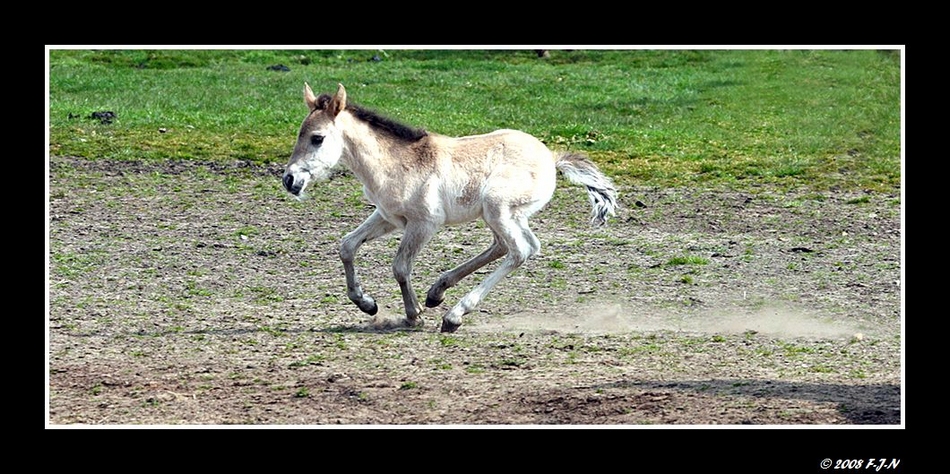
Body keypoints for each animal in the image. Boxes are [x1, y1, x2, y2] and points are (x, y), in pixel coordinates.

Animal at [282, 82, 620, 334]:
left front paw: (413, 314)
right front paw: (367, 304)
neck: (397, 163)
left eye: (317, 138)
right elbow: (347, 246)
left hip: (498, 208)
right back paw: (437, 292)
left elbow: (400, 266)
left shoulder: (424, 224)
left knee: (519, 251)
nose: (289, 180)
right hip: (505, 215)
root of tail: (551, 158)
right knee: (510, 246)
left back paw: (454, 315)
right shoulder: (388, 217)